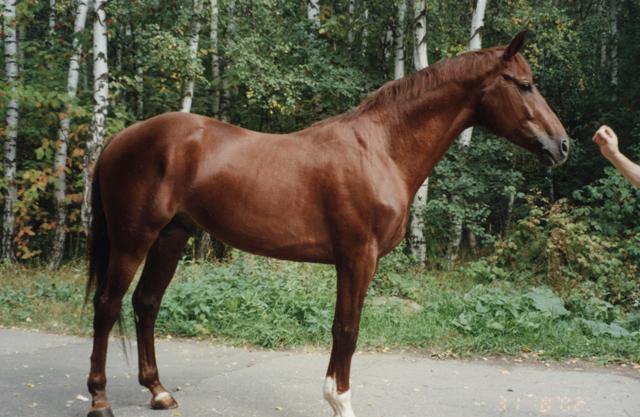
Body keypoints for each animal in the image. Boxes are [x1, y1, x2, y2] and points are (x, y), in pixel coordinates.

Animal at [85, 32, 568, 416]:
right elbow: (346, 331)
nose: (561, 144)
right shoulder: (357, 257)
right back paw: (100, 400)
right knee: (107, 305)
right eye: (525, 85)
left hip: (171, 236)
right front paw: (340, 402)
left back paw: (159, 392)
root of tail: (120, 139)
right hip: (134, 239)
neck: (381, 148)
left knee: (146, 304)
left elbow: (342, 329)